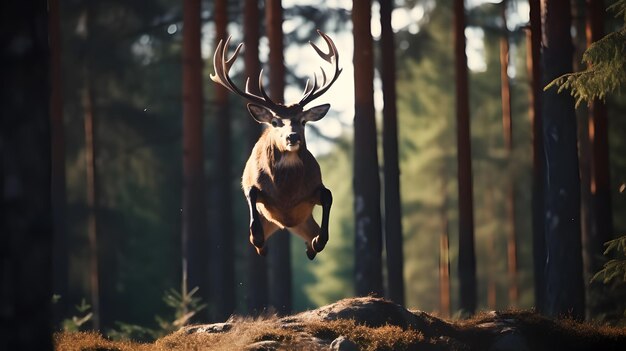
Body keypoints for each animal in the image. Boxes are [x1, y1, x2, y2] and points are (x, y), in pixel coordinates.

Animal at [211, 30, 342, 262]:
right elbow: (251, 194)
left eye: (303, 121)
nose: (292, 137)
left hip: (303, 221)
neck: (286, 195)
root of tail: (286, 225)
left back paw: (310, 247)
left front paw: (318, 241)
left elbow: (328, 195)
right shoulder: (253, 187)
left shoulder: (312, 192)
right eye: (274, 121)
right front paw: (257, 237)